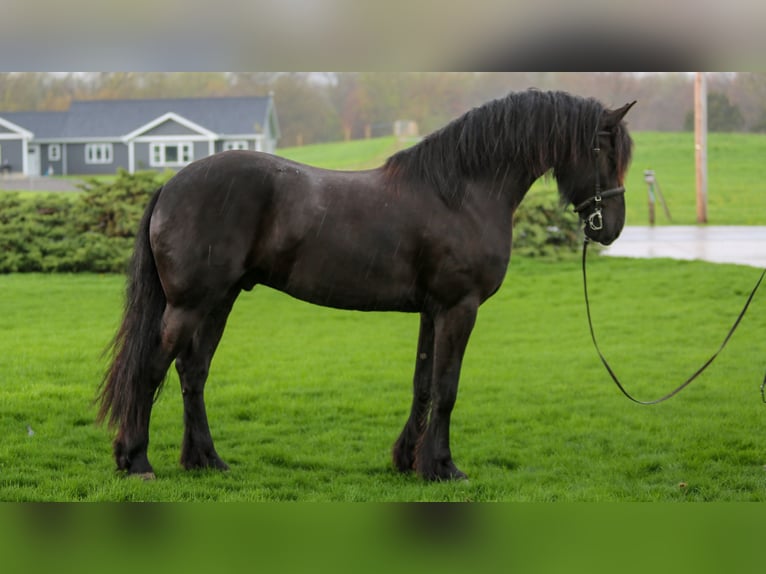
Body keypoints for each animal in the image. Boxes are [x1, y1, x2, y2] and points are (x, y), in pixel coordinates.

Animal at [97, 90, 635, 481]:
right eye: (603, 148)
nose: (610, 228)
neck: (461, 191)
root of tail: (170, 184)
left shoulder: (432, 310)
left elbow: (423, 384)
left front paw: (409, 460)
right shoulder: (459, 307)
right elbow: (448, 386)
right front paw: (443, 467)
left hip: (219, 301)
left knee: (193, 373)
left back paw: (206, 460)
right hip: (190, 304)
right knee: (150, 370)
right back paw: (137, 461)